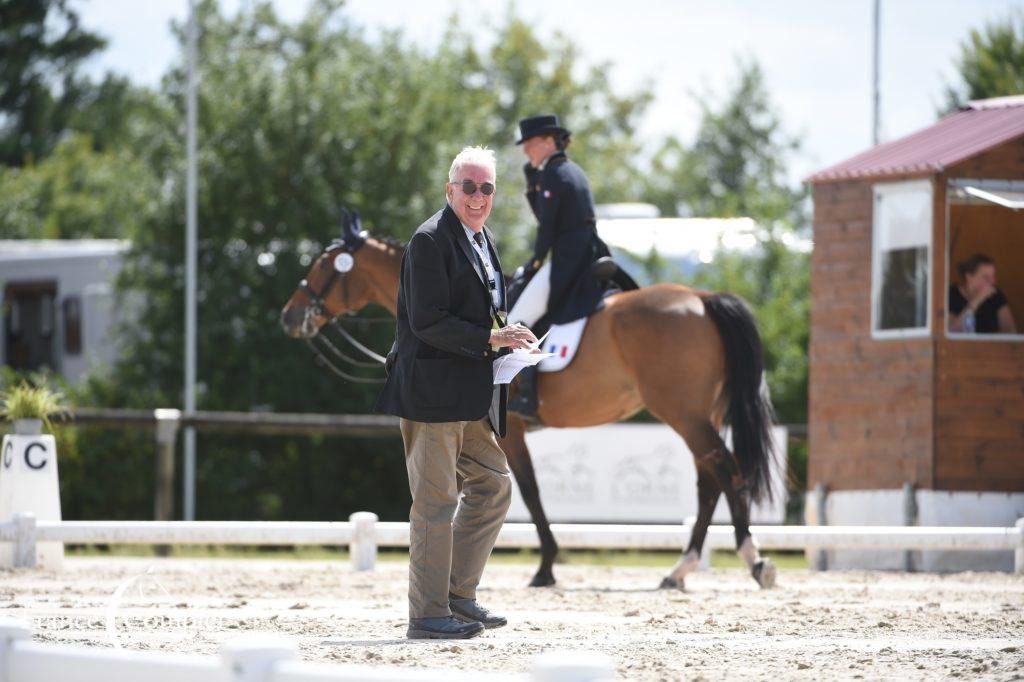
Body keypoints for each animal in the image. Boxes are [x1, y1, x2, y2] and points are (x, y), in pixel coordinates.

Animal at [280, 220, 774, 585]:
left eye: (327, 265)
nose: (290, 316)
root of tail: (702, 299)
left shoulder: (509, 428)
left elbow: (530, 492)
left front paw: (545, 568)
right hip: (699, 414)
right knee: (710, 481)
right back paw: (679, 570)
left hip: (684, 414)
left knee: (725, 470)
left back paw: (754, 560)